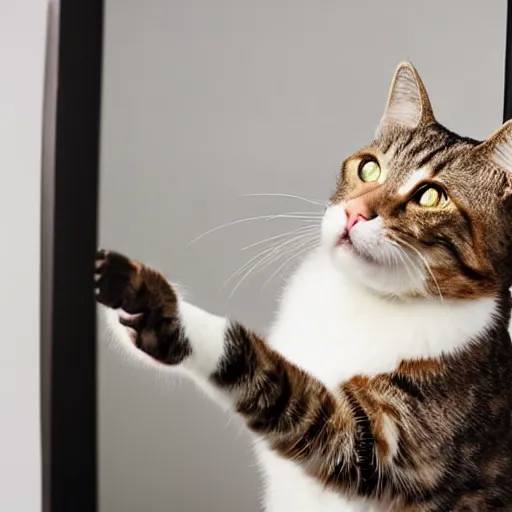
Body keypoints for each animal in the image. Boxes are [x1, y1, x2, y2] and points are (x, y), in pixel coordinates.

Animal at [94, 65, 512, 512]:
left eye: (431, 196)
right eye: (369, 168)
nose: (354, 213)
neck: (359, 299)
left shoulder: (383, 445)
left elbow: (269, 376)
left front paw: (157, 306)